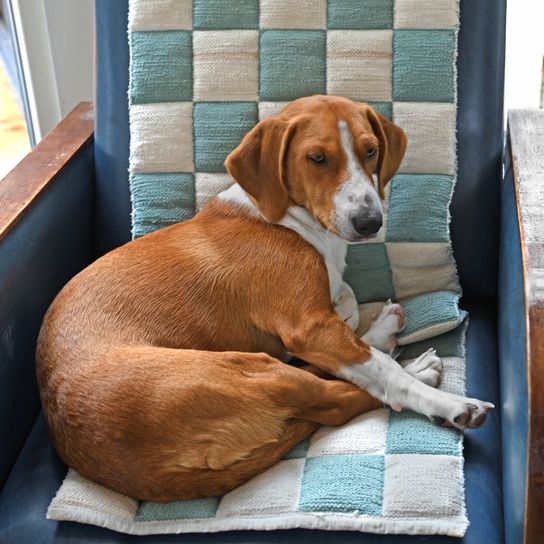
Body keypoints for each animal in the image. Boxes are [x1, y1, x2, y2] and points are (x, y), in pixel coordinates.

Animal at [35, 96, 492, 502]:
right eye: (317, 158)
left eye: (371, 151)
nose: (370, 222)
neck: (291, 222)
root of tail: (139, 476)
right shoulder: (308, 327)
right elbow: (375, 368)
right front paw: (436, 395)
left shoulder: (319, 322)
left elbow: (346, 310)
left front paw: (367, 326)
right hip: (251, 368)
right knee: (341, 400)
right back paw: (428, 380)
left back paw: (385, 334)